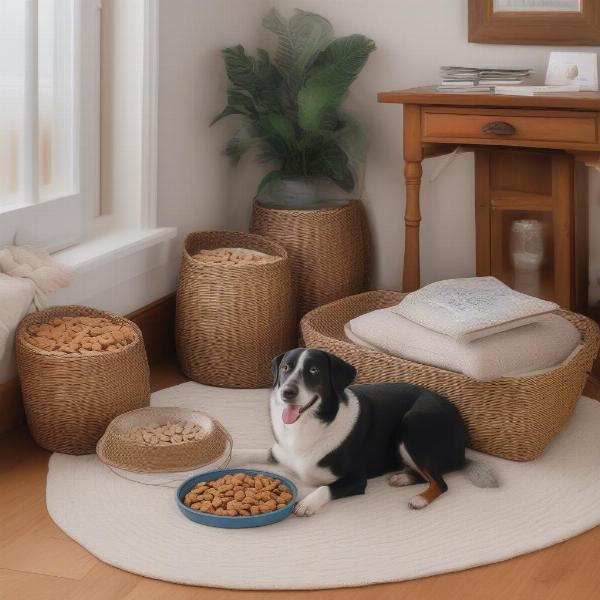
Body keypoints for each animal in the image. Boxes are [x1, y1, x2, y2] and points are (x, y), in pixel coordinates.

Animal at [258, 346, 496, 516]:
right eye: (286, 368)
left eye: (313, 371)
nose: (287, 392)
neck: (310, 424)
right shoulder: (278, 451)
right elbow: (256, 451)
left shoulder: (356, 479)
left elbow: (326, 488)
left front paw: (307, 503)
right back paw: (403, 478)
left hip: (412, 424)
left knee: (440, 482)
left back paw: (419, 499)